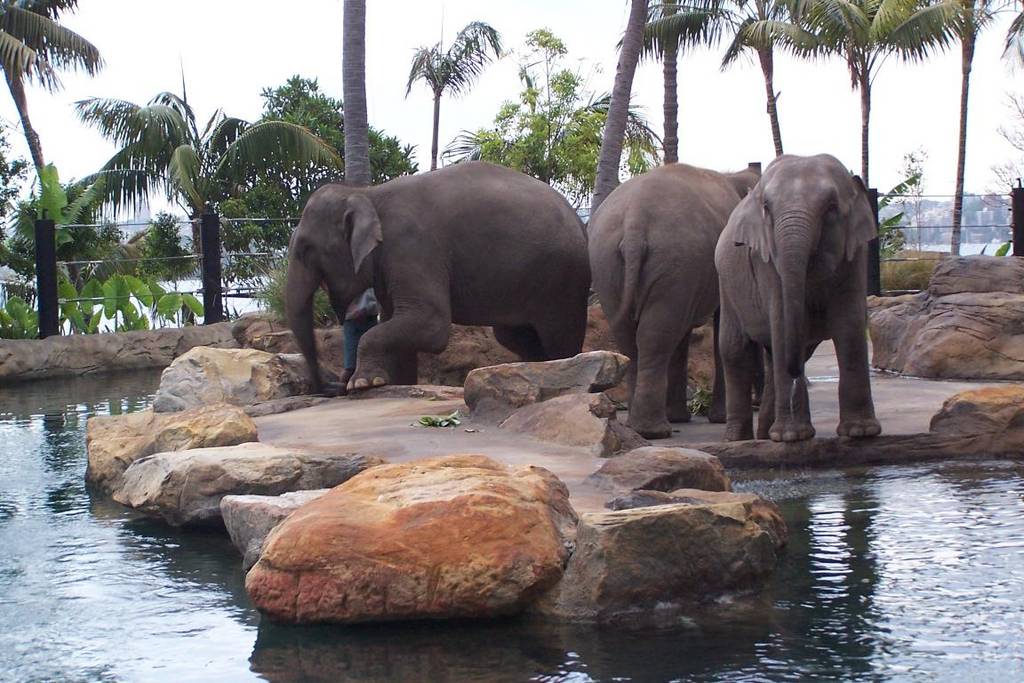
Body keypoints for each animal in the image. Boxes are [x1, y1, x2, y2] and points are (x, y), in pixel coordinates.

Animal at [286, 161, 591, 394]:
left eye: (305, 249)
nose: (330, 387)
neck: (367, 194)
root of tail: (580, 221)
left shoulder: (413, 247)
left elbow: (431, 324)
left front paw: (361, 384)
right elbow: (396, 321)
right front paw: (395, 384)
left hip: (561, 279)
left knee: (559, 336)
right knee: (515, 336)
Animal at [588, 162, 761, 439]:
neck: (734, 177)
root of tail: (635, 219)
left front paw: (683, 417)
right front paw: (717, 419)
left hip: (609, 263)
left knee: (632, 337)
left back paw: (640, 426)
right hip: (674, 260)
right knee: (656, 336)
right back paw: (655, 431)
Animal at [715, 153, 881, 443]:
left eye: (831, 208)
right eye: (767, 208)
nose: (794, 374)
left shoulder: (854, 253)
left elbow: (849, 322)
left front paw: (861, 432)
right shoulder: (767, 260)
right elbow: (782, 320)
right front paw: (792, 437)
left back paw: (766, 434)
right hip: (727, 284)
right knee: (735, 349)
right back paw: (740, 439)